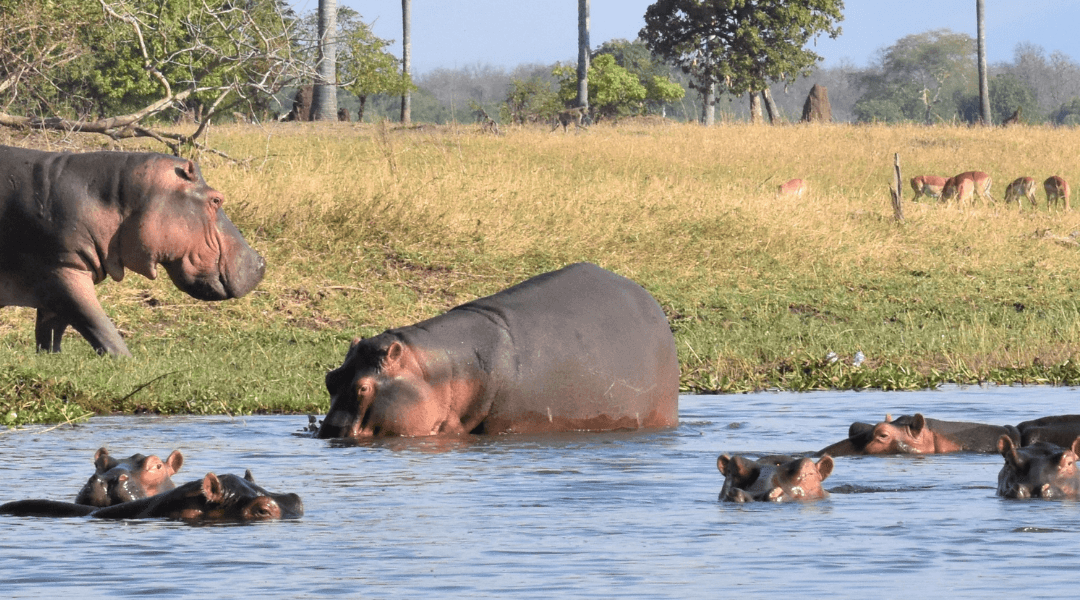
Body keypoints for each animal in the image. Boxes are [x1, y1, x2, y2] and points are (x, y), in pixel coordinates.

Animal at [0, 145, 265, 356]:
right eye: (216, 199)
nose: (261, 262)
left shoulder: (54, 281)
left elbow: (51, 331)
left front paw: (51, 359)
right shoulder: (64, 272)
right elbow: (99, 326)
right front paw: (125, 361)